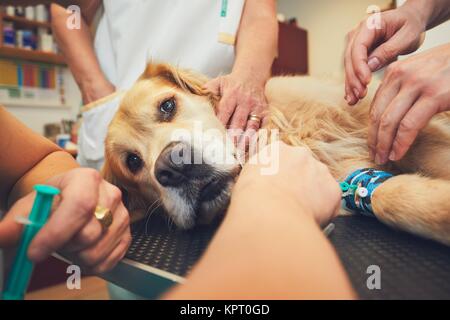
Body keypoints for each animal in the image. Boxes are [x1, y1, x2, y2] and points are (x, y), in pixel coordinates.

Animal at [102, 62, 450, 245]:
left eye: (167, 106)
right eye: (132, 162)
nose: (173, 167)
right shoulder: (347, 180)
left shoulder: (392, 124)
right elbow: (389, 197)